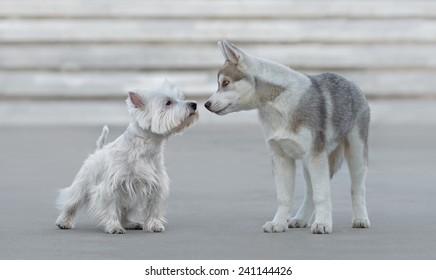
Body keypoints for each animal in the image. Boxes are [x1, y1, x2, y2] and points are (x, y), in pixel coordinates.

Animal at [55, 80, 198, 233]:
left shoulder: (156, 185)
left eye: (180, 98)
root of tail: (98, 150)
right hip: (83, 184)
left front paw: (154, 225)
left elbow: (153, 206)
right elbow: (111, 207)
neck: (146, 146)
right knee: (71, 201)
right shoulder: (112, 186)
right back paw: (64, 222)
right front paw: (114, 227)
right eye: (168, 102)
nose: (194, 104)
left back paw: (131, 223)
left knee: (124, 212)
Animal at [206, 38, 370, 233]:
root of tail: (351, 82)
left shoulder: (315, 156)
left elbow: (322, 194)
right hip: (309, 164)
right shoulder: (281, 158)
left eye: (225, 83)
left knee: (357, 189)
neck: (279, 103)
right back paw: (300, 218)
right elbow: (284, 197)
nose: (206, 104)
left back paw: (360, 219)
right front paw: (278, 223)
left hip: (355, 155)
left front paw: (323, 224)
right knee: (310, 191)